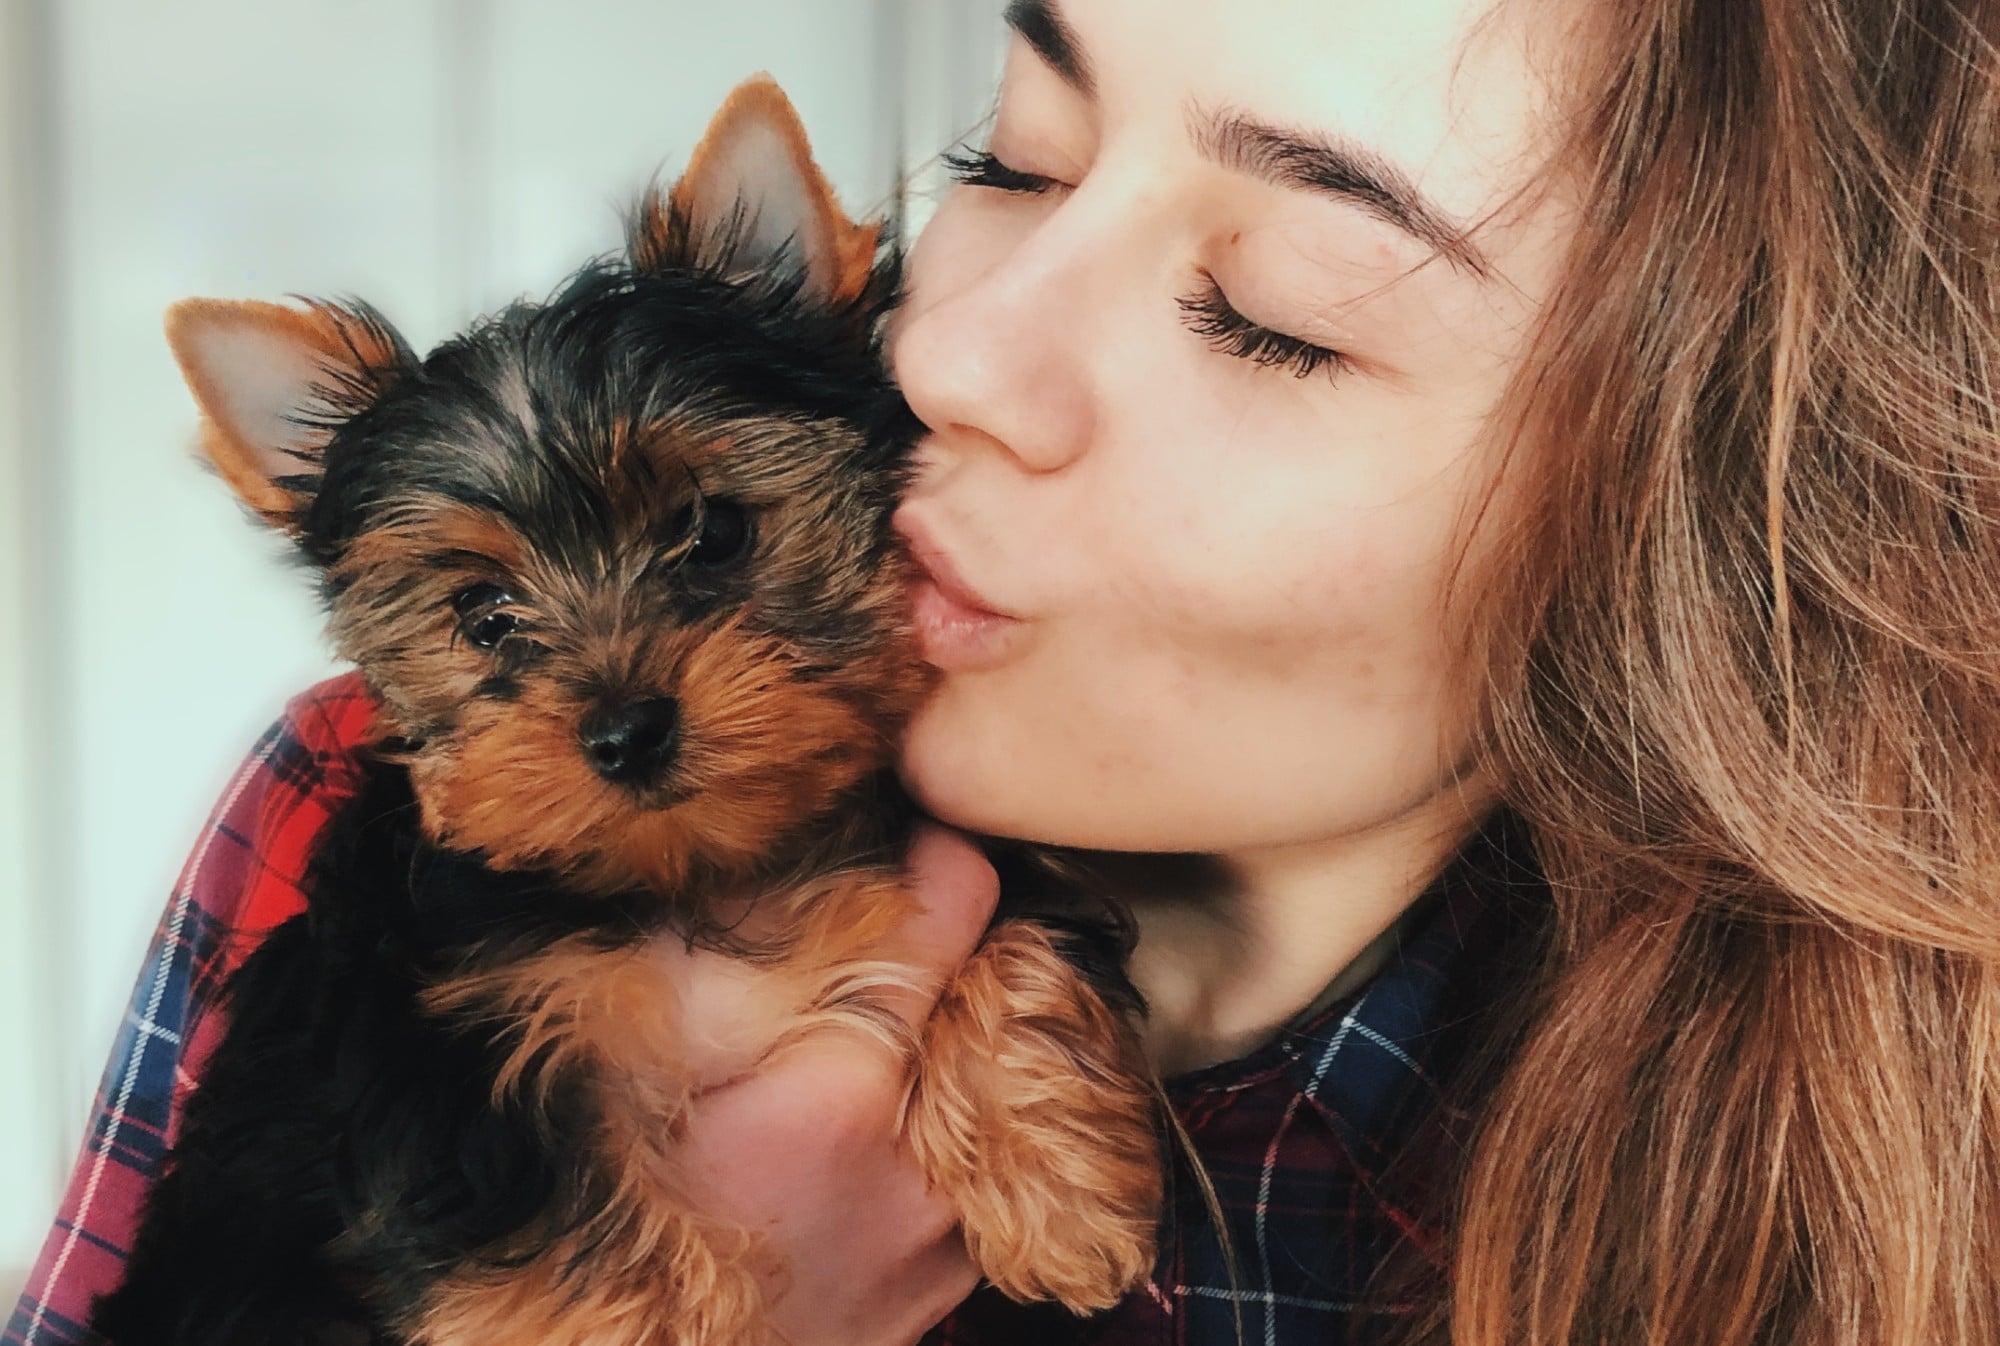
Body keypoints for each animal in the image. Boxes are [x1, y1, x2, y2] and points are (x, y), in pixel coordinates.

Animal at [90, 76, 1160, 1344]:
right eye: (484, 613)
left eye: (715, 529)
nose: (625, 731)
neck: (698, 876)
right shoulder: (439, 1045)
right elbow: (565, 1233)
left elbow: (1018, 930)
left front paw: (1050, 1187)